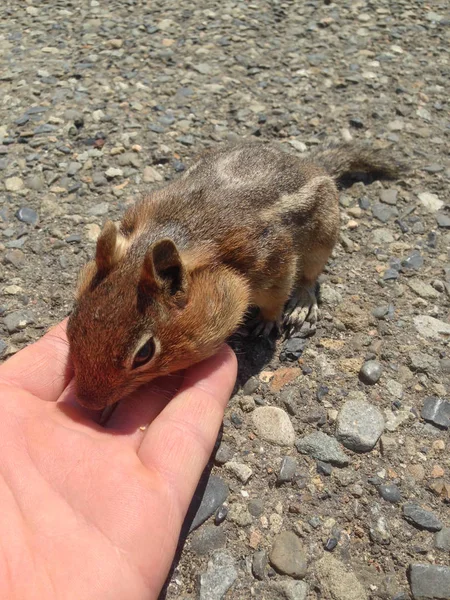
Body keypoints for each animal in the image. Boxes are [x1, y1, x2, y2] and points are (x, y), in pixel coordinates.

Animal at [67, 143, 400, 410]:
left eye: (144, 353)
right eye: (73, 323)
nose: (86, 402)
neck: (175, 230)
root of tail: (312, 163)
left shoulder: (274, 260)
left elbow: (278, 293)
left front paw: (267, 321)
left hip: (324, 236)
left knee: (309, 278)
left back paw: (302, 303)